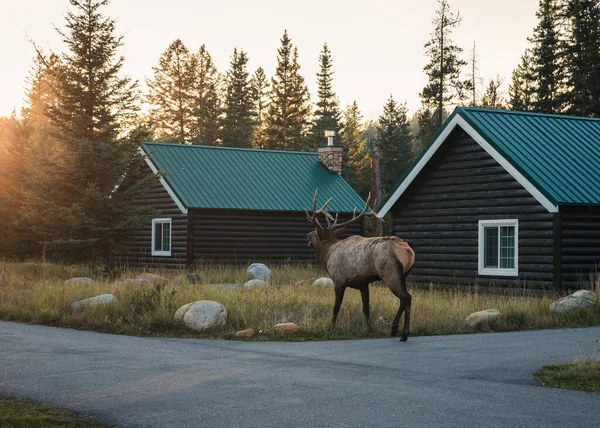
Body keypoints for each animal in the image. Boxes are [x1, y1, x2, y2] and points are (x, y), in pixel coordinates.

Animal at [308, 191, 414, 342]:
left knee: (406, 298)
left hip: (390, 273)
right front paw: (370, 329)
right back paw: (394, 329)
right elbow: (366, 307)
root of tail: (409, 252)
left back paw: (404, 334)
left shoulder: (339, 280)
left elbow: (336, 306)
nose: (307, 235)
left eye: (315, 234)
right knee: (402, 300)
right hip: (404, 275)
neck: (328, 256)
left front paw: (331, 326)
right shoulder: (363, 283)